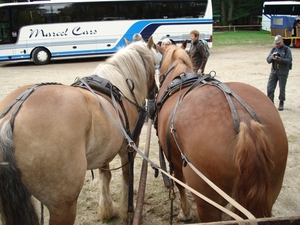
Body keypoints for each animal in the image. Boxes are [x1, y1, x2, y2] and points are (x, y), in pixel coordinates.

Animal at [0, 39, 159, 225]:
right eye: (155, 64)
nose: (155, 91)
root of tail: (11, 116)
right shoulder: (129, 148)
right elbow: (127, 178)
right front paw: (127, 212)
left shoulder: (104, 151)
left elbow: (105, 176)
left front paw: (106, 210)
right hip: (63, 206)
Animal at [155, 43, 288, 222]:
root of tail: (244, 120)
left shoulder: (174, 161)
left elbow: (180, 184)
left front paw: (185, 213)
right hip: (272, 191)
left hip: (208, 203)